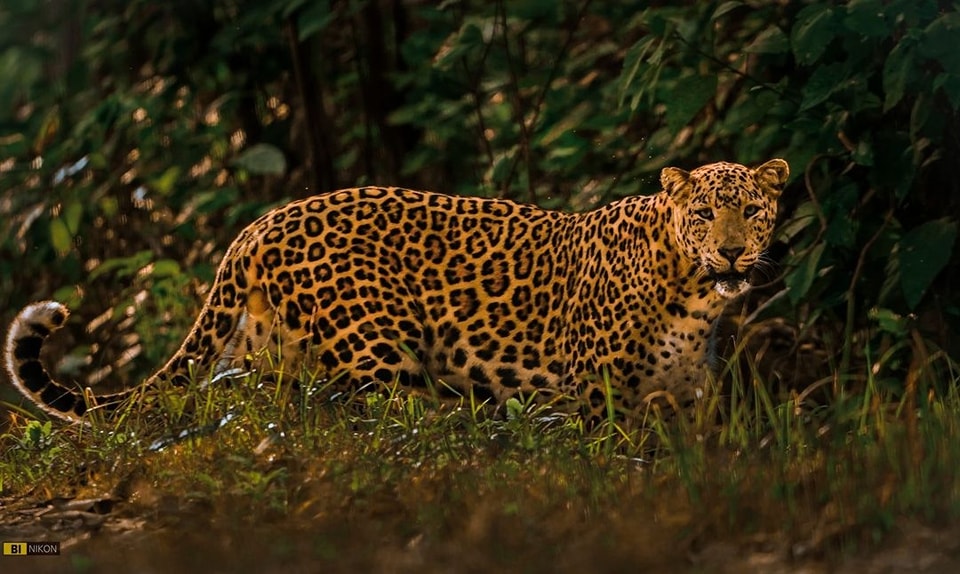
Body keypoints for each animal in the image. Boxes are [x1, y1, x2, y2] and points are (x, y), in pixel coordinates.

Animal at [4, 159, 788, 425]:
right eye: (703, 213)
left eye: (751, 210)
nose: (732, 249)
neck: (693, 294)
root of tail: (256, 226)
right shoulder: (598, 389)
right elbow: (610, 457)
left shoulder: (688, 396)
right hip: (376, 345)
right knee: (394, 429)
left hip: (267, 353)